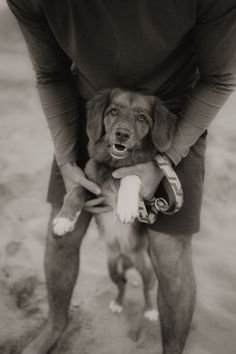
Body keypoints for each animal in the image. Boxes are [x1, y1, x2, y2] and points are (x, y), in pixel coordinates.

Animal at [52, 88, 176, 320]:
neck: (112, 166)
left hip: (147, 268)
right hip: (112, 267)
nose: (122, 134)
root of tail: (126, 257)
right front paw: (64, 220)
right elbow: (75, 192)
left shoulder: (147, 196)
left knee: (147, 288)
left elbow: (131, 174)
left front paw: (126, 206)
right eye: (114, 111)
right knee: (122, 284)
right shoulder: (91, 186)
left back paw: (150, 310)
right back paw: (118, 303)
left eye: (141, 118)